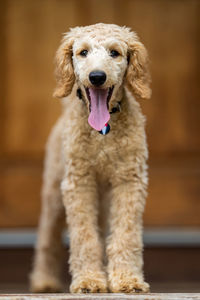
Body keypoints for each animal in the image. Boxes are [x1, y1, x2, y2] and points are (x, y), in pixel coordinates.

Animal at [30, 22, 150, 292]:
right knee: (47, 237)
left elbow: (126, 234)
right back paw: (44, 280)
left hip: (103, 199)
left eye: (115, 53)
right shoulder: (79, 183)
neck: (102, 133)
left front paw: (127, 279)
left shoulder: (129, 181)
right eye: (83, 52)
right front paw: (89, 280)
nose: (96, 76)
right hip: (54, 193)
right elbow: (84, 236)